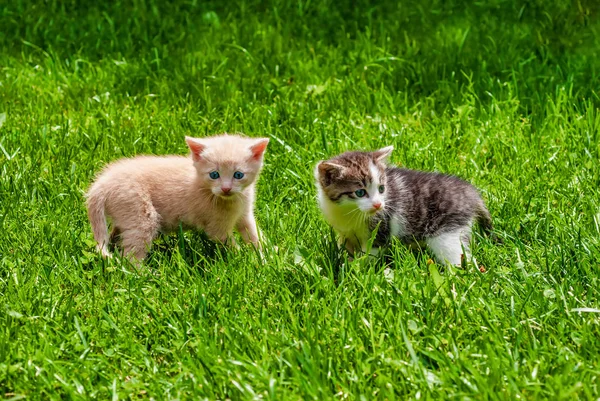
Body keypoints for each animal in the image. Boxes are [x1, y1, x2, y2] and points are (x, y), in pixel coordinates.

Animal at [85, 133, 270, 260]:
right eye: (214, 175)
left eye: (238, 175)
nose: (226, 188)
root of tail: (102, 184)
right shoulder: (217, 229)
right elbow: (230, 244)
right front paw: (245, 260)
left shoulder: (245, 214)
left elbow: (254, 234)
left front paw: (266, 254)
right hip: (141, 214)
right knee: (130, 255)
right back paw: (145, 275)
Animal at [316, 147, 494, 266]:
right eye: (360, 192)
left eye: (381, 189)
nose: (378, 204)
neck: (348, 212)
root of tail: (471, 192)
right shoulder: (345, 232)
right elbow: (346, 246)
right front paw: (345, 260)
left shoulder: (381, 230)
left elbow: (370, 253)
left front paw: (356, 268)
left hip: (446, 232)